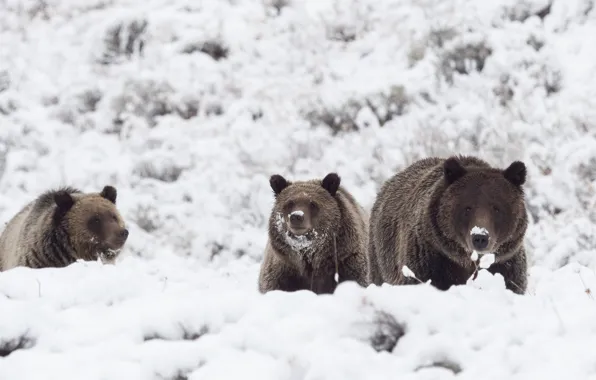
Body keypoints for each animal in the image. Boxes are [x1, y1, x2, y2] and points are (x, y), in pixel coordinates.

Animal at [370, 154, 528, 294]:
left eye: (496, 208)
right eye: (468, 207)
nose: (480, 237)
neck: (468, 262)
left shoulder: (506, 266)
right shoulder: (430, 261)